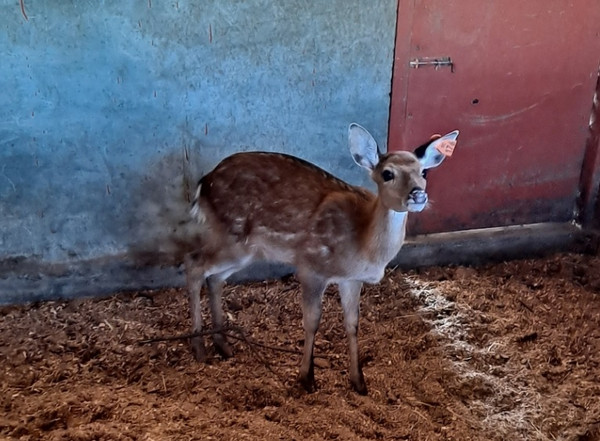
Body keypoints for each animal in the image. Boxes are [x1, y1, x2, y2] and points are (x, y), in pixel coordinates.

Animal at [185, 123, 458, 392]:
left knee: (214, 278)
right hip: (230, 236)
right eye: (387, 174)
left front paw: (359, 381)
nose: (418, 195)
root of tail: (203, 183)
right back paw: (199, 347)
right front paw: (307, 378)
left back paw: (222, 344)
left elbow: (352, 323)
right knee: (194, 265)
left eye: (424, 172)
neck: (362, 243)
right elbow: (312, 321)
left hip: (244, 250)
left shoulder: (351, 279)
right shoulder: (311, 267)